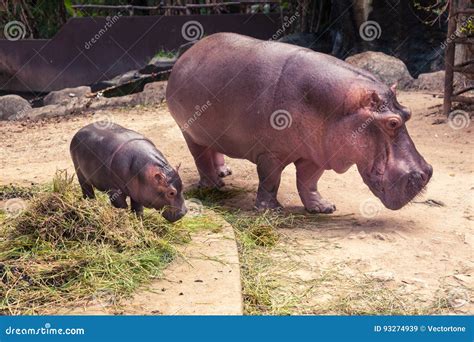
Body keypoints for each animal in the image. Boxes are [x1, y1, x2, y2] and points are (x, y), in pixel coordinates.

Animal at [165, 32, 432, 214]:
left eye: (407, 113)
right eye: (392, 123)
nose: (426, 173)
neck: (341, 107)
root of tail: (188, 53)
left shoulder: (318, 154)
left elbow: (309, 181)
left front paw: (324, 207)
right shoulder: (271, 153)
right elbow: (271, 180)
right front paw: (271, 211)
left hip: (212, 129)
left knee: (214, 148)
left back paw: (224, 172)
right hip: (189, 131)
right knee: (201, 157)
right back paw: (214, 185)